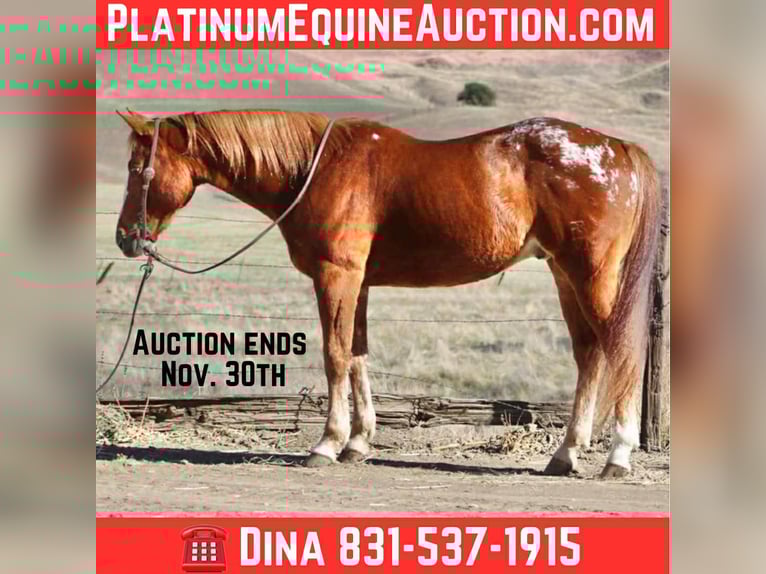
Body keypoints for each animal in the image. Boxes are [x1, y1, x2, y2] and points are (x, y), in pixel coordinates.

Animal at [114, 109, 661, 478]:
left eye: (137, 168)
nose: (125, 239)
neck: (317, 168)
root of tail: (618, 148)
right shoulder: (358, 284)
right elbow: (358, 357)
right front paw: (357, 443)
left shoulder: (336, 276)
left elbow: (335, 356)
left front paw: (327, 444)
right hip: (566, 276)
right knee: (589, 354)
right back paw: (566, 453)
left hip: (593, 277)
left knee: (621, 352)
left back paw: (617, 455)